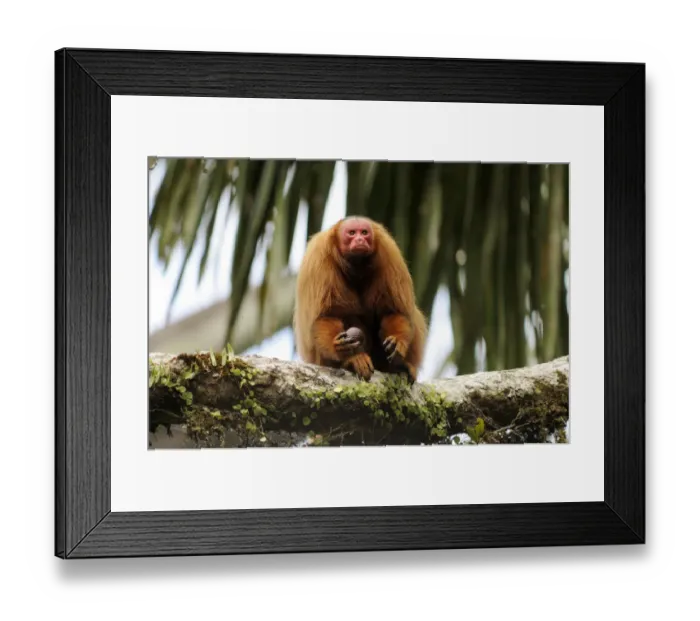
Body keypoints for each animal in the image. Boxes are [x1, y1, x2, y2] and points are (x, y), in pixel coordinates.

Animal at [293, 215, 427, 383]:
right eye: (351, 233)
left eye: (364, 232)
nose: (360, 240)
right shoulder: (319, 259)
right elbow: (326, 316)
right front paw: (348, 355)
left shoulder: (389, 253)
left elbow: (393, 312)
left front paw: (398, 342)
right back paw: (352, 361)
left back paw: (399, 365)